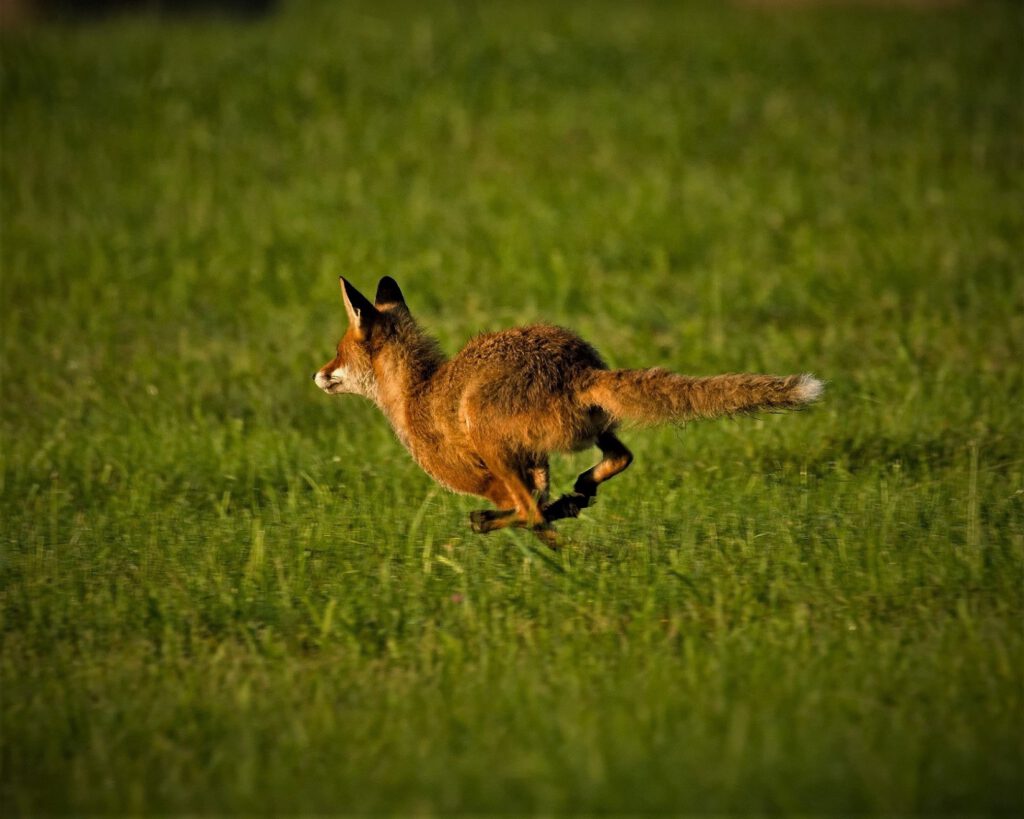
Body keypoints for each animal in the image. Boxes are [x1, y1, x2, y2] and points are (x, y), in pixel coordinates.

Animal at [313, 276, 823, 544]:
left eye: (338, 353)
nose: (318, 374)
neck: (417, 393)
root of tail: (578, 370)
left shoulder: (488, 475)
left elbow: (527, 507)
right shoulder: (534, 462)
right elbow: (542, 493)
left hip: (486, 432)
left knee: (531, 513)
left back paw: (509, 523)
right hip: (594, 428)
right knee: (617, 459)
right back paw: (577, 495)